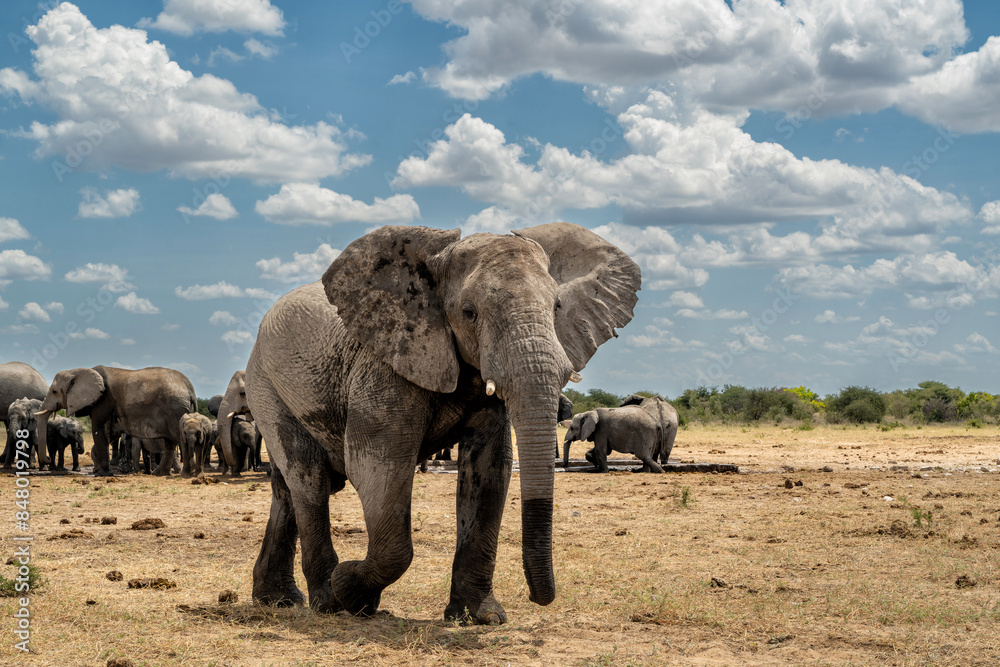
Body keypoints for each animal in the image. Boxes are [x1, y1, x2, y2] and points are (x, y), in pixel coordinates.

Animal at [37, 368, 197, 478]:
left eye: (54, 391)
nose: (48, 458)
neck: (77, 371)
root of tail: (190, 387)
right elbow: (110, 433)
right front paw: (99, 469)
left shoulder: (102, 401)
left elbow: (99, 431)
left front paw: (101, 474)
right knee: (170, 442)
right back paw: (159, 473)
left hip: (176, 409)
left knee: (178, 439)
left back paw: (186, 474)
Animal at [246, 226, 644, 628]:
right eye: (469, 313)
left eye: (557, 307)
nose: (537, 598)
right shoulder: (384, 365)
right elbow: (377, 467)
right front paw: (350, 589)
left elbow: (491, 468)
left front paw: (480, 617)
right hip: (265, 385)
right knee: (310, 479)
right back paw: (327, 601)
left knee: (288, 489)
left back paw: (279, 600)